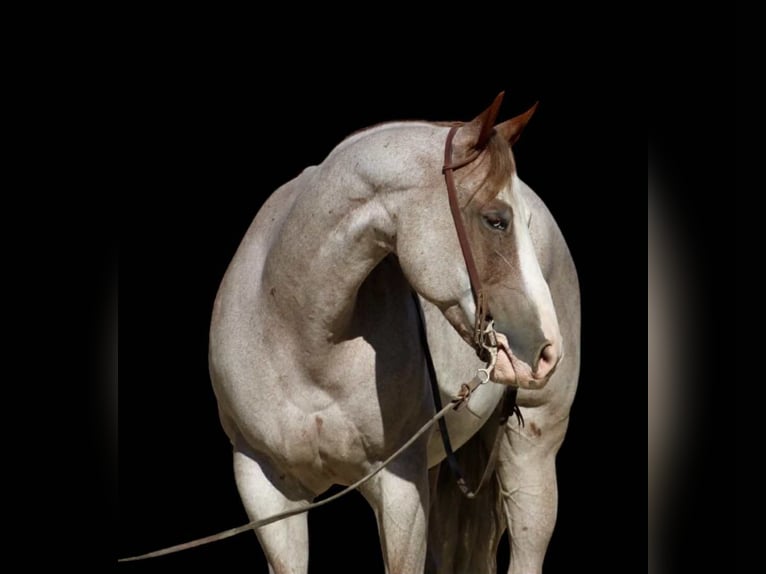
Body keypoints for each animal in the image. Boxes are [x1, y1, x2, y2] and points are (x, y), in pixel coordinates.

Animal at [208, 93, 580, 573]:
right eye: (495, 220)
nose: (547, 351)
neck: (297, 333)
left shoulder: (399, 487)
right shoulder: (266, 490)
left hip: (533, 449)